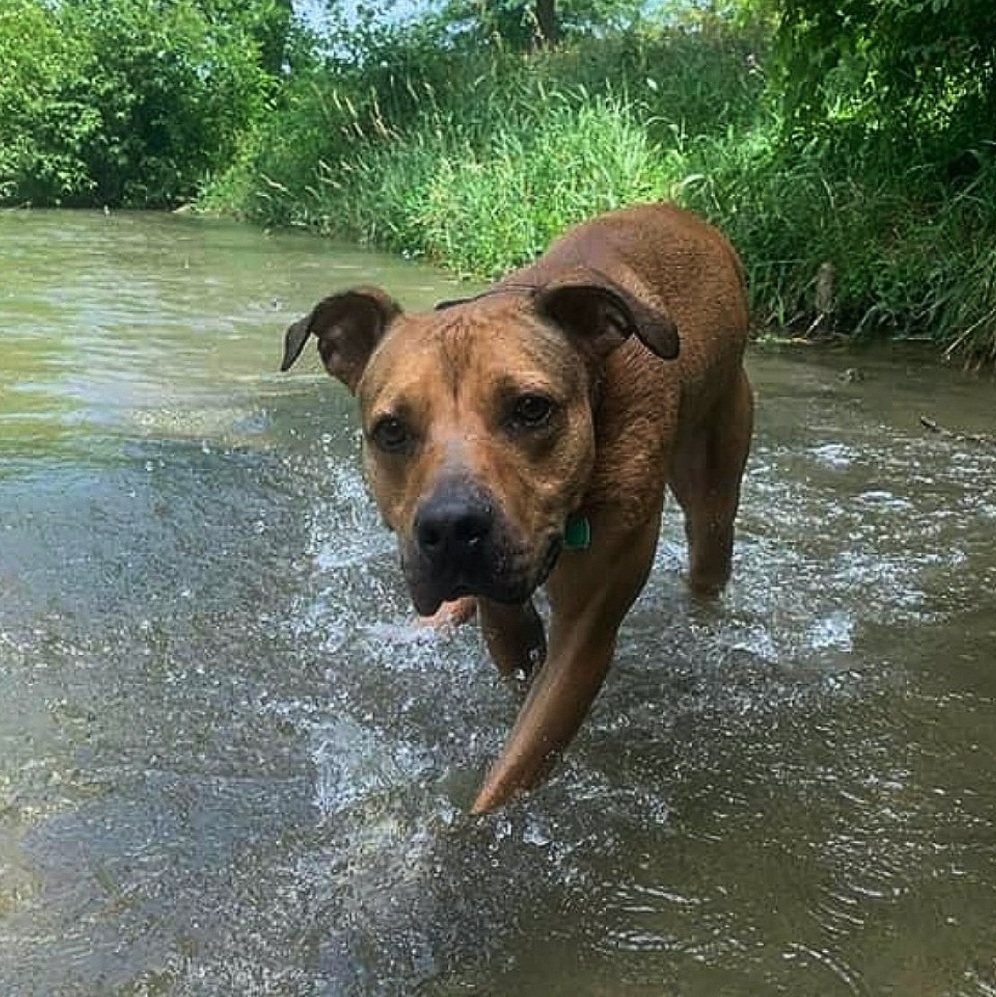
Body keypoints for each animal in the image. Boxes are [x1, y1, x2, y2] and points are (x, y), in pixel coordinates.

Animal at [280, 200, 756, 808]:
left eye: (532, 408)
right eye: (391, 430)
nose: (450, 528)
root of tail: (685, 216)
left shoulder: (586, 631)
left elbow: (514, 767)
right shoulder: (503, 607)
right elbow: (514, 646)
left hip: (715, 480)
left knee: (709, 542)